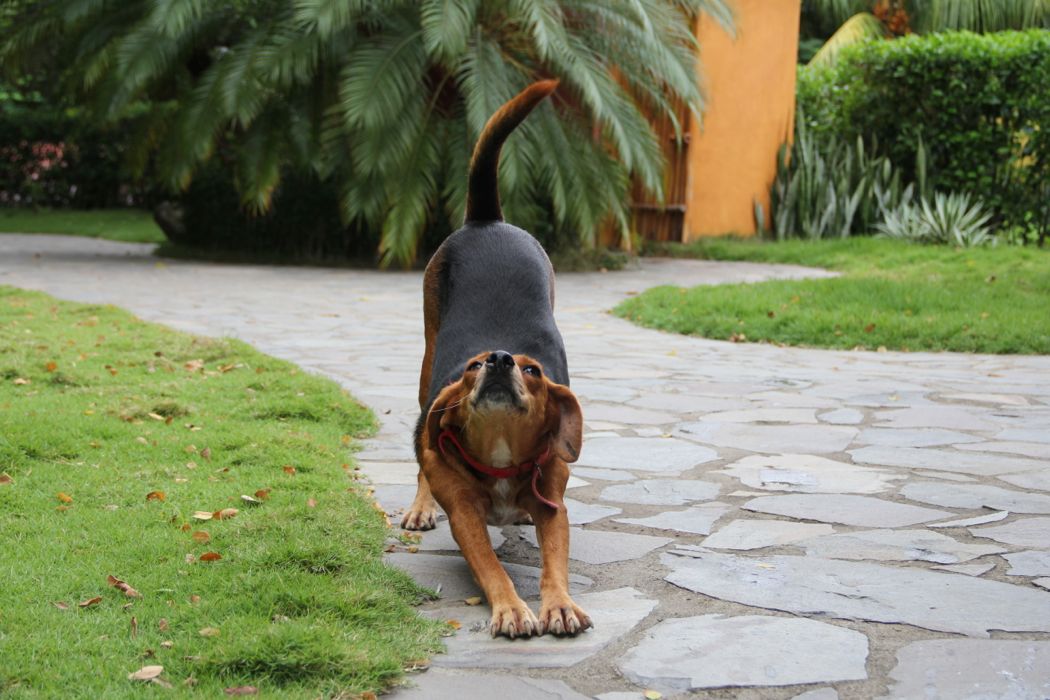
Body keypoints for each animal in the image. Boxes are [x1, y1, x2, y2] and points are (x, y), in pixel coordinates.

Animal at [400, 80, 591, 639]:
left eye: (533, 370)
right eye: (471, 368)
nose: (501, 359)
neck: (503, 453)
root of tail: (488, 219)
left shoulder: (555, 507)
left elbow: (555, 562)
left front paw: (559, 603)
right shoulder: (465, 514)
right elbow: (489, 566)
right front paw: (510, 607)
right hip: (425, 363)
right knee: (420, 454)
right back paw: (421, 506)